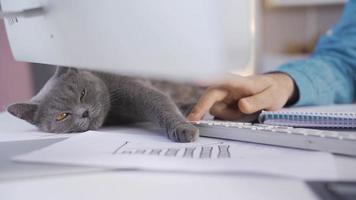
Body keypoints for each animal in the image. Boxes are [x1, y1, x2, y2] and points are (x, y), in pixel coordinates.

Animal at [6, 67, 203, 142]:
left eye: (83, 93)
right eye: (62, 116)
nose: (84, 113)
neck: (114, 114)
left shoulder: (135, 89)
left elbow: (159, 101)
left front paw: (184, 130)